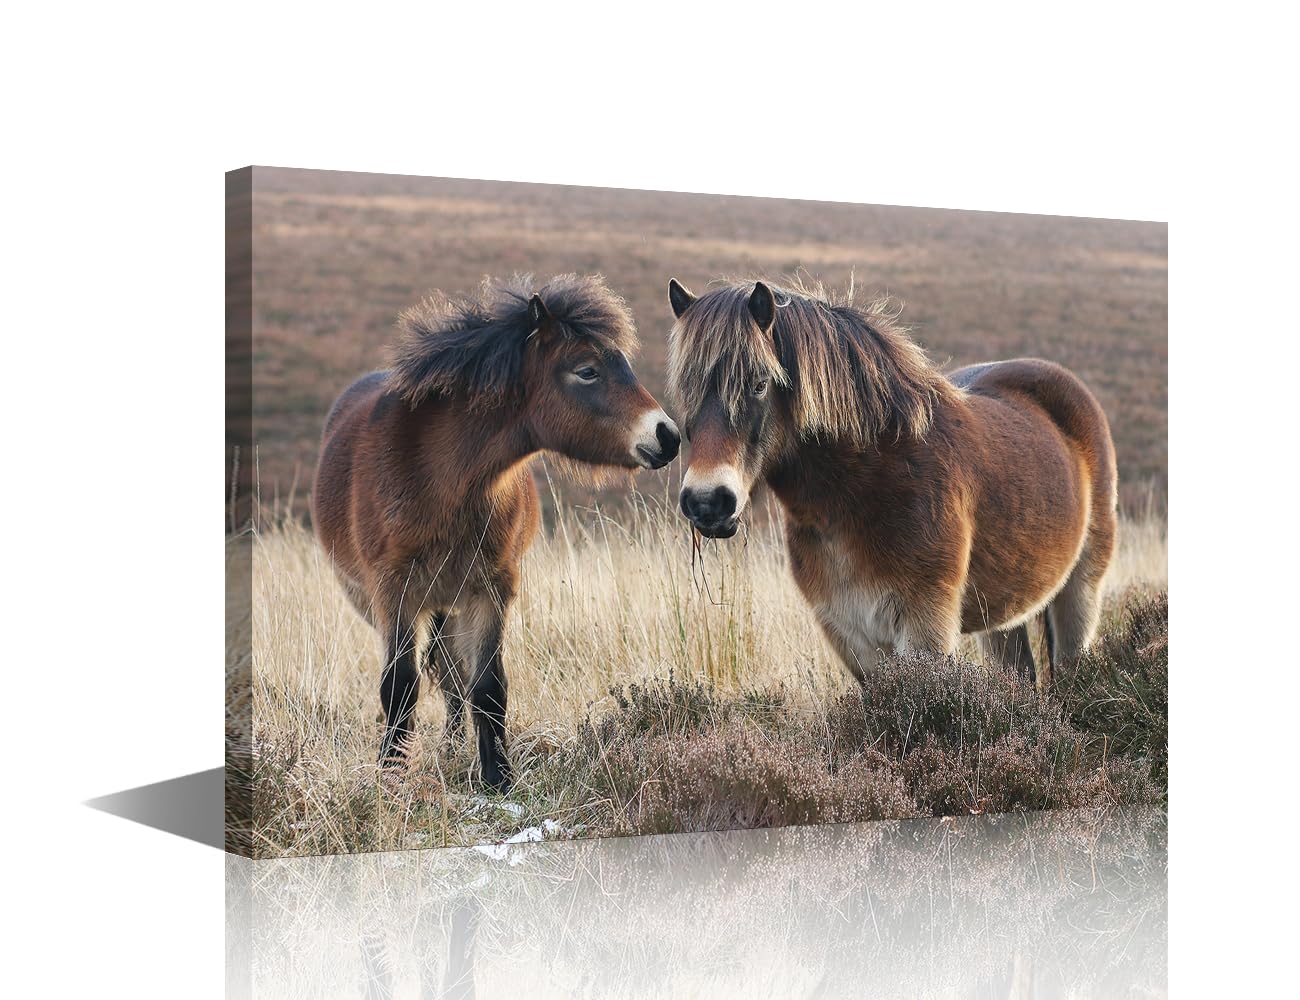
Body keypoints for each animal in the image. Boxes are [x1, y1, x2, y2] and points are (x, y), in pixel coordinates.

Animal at [312, 273, 680, 790]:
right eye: (587, 370)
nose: (668, 436)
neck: (441, 480)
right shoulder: (394, 593)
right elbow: (400, 685)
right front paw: (392, 776)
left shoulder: (490, 591)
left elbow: (487, 686)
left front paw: (497, 779)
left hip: (449, 606)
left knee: (452, 676)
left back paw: (452, 747)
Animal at [665, 275, 1116, 688]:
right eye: (685, 390)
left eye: (759, 384)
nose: (707, 502)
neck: (863, 488)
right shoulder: (849, 635)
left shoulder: (924, 628)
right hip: (1001, 620)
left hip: (1079, 595)